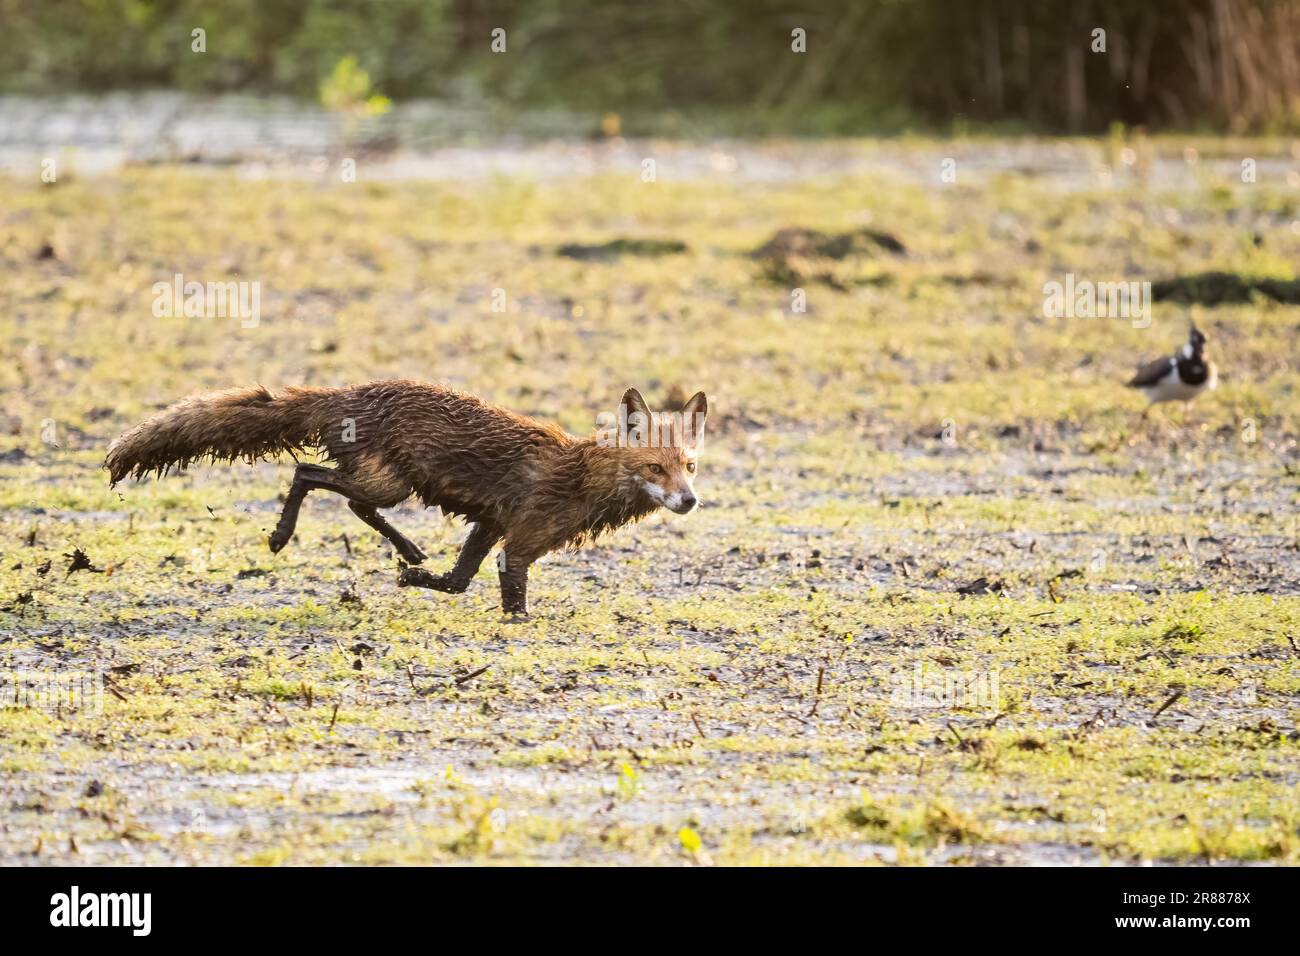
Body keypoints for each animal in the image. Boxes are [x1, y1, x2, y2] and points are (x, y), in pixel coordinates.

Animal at [105, 382, 707, 616]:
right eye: (655, 468)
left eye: (690, 467)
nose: (689, 502)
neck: (582, 476)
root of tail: (347, 393)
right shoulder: (521, 540)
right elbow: (510, 595)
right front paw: (520, 624)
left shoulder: (491, 522)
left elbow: (458, 581)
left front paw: (416, 578)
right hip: (389, 484)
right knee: (308, 473)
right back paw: (282, 535)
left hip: (387, 483)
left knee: (343, 496)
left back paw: (409, 554)